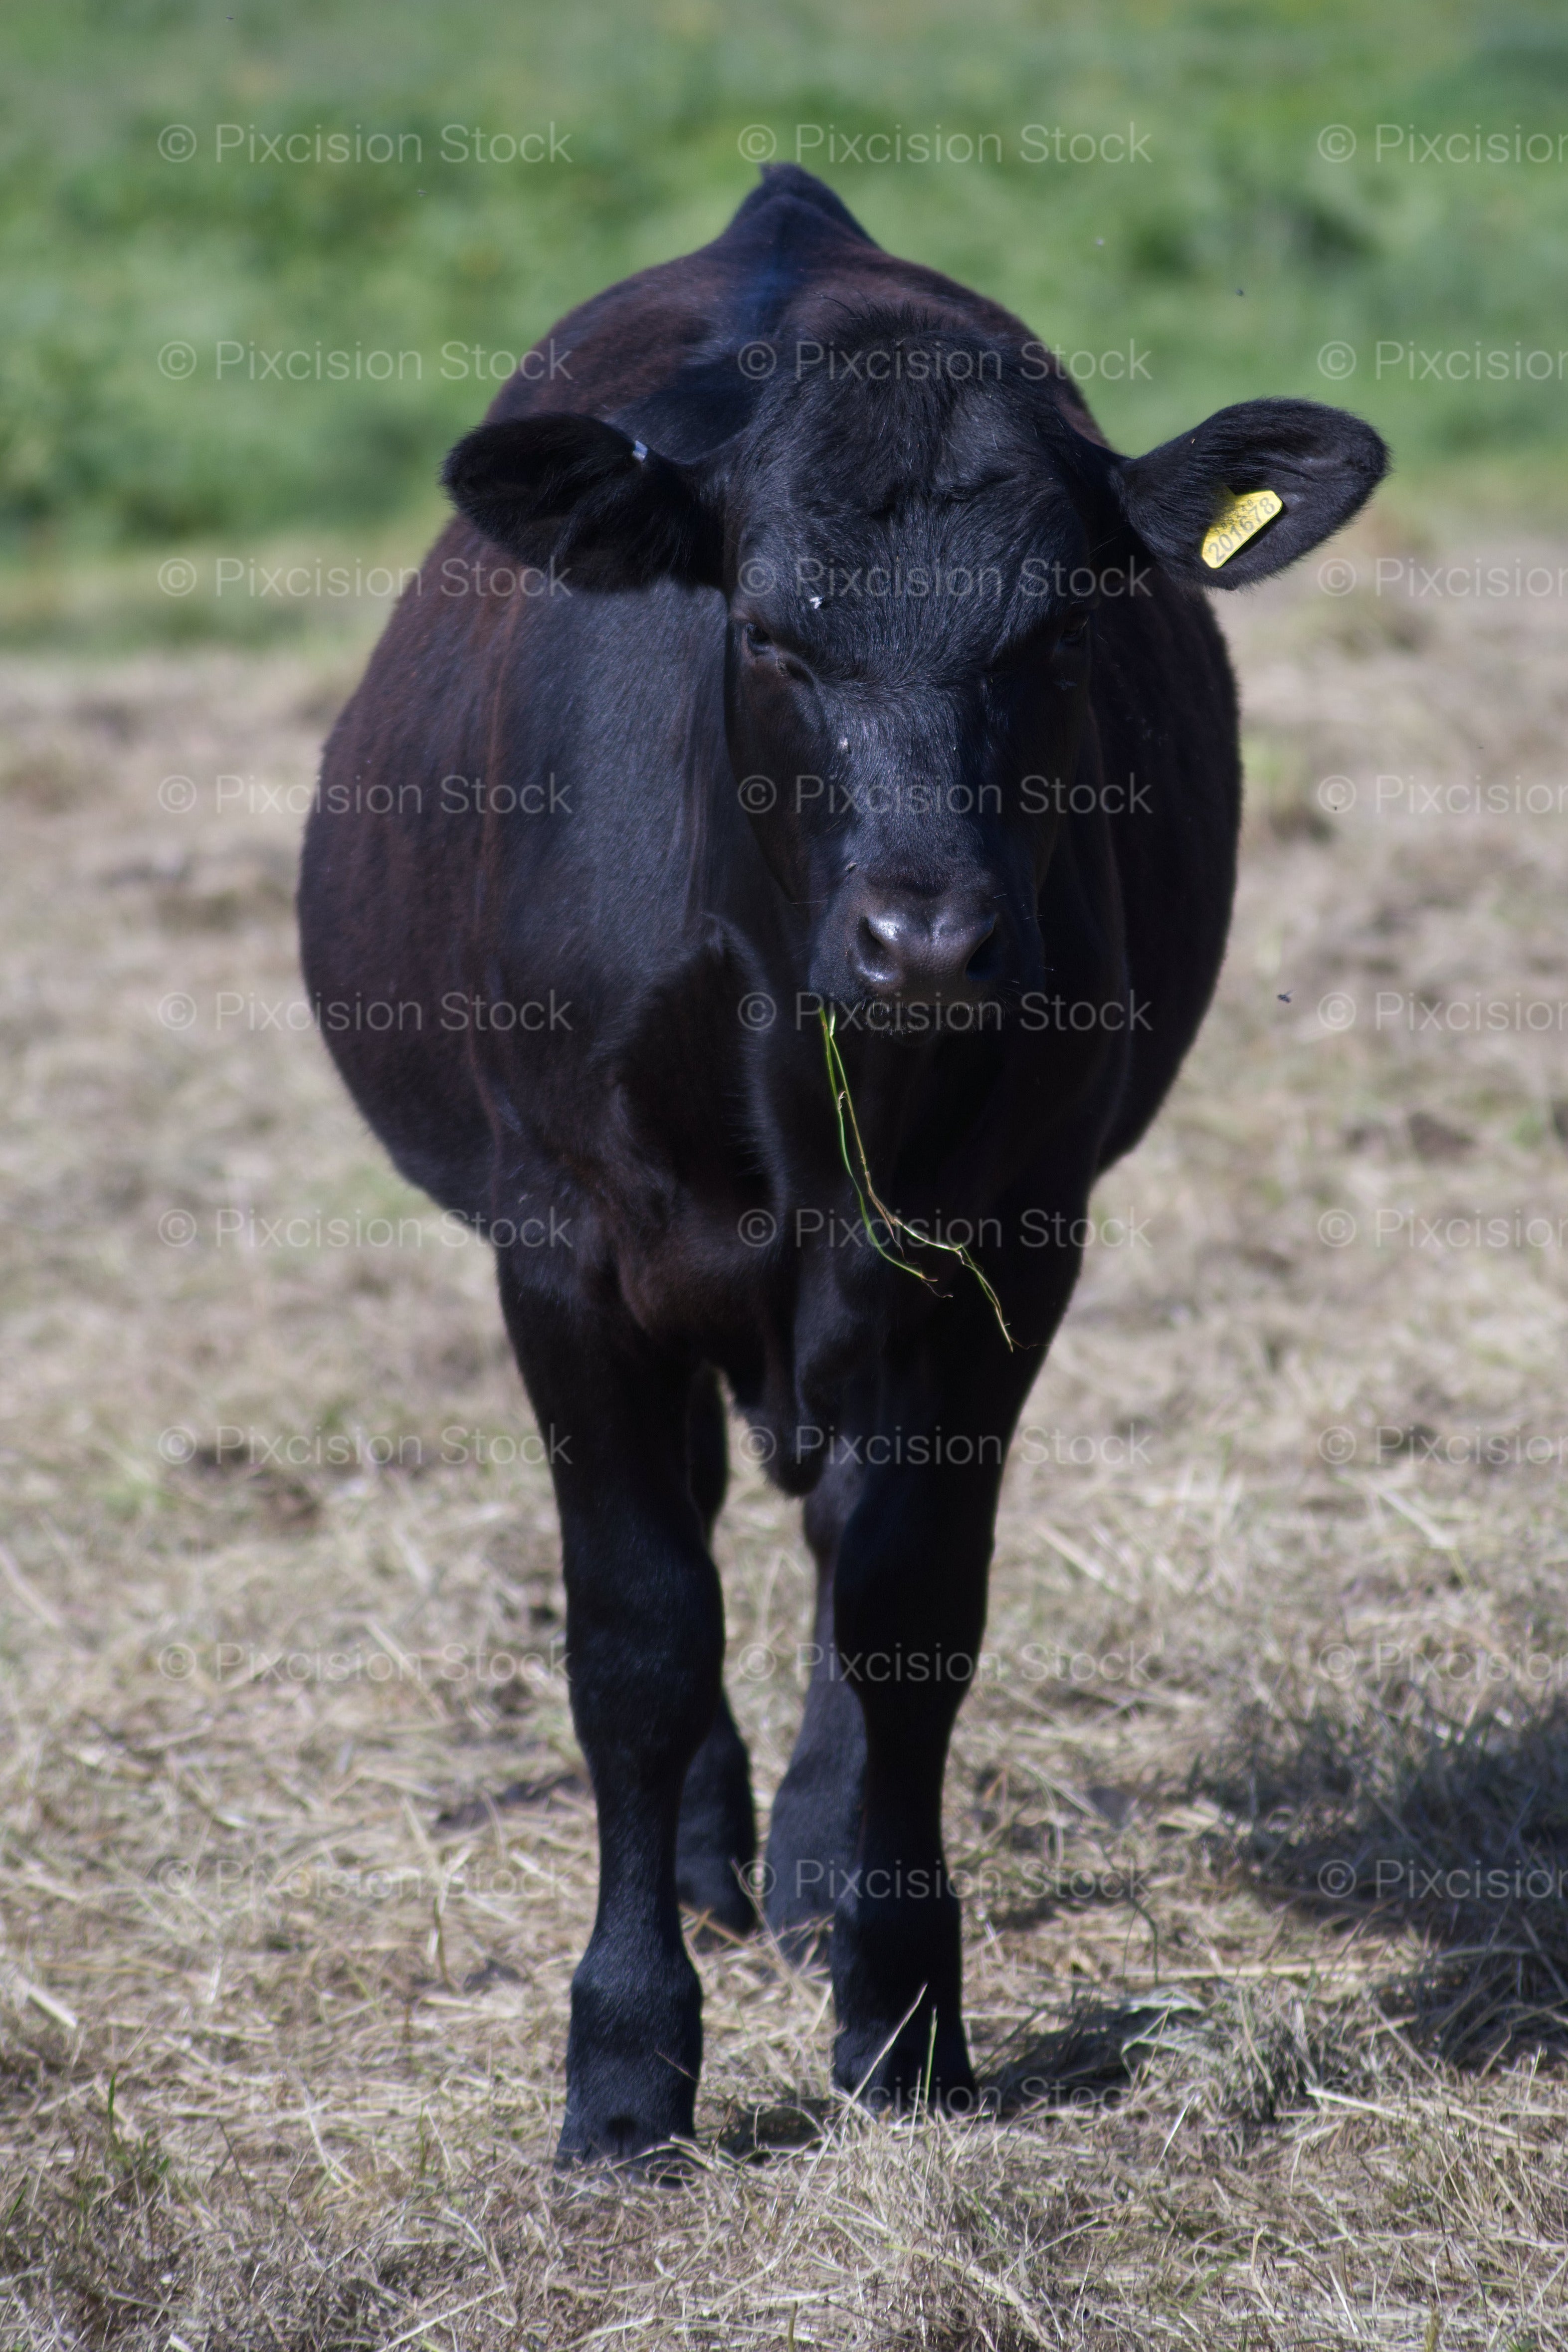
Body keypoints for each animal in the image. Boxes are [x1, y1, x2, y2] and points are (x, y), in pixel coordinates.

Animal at [299, 163, 1386, 2166]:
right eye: (770, 634)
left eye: (1054, 632)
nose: (929, 938)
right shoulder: (563, 1251)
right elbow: (637, 1640)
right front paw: (625, 2062)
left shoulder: (1011, 1246)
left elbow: (905, 1616)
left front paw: (902, 2012)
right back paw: (715, 1853)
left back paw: (803, 1862)